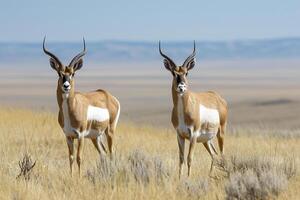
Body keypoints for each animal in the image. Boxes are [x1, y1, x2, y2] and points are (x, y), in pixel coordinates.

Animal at [42, 37, 120, 175]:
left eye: (73, 73)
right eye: (59, 73)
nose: (66, 86)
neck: (72, 108)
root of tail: (108, 95)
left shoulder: (81, 135)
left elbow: (79, 157)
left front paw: (79, 177)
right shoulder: (68, 136)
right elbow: (71, 157)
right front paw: (72, 176)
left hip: (109, 131)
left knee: (111, 153)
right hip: (95, 137)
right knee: (103, 153)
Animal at [159, 41, 227, 177]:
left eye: (186, 73)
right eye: (174, 73)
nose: (181, 87)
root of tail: (218, 98)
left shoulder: (193, 135)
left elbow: (190, 158)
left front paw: (188, 178)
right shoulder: (179, 135)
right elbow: (181, 158)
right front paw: (180, 178)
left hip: (220, 133)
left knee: (222, 155)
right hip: (207, 140)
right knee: (214, 155)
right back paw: (210, 176)